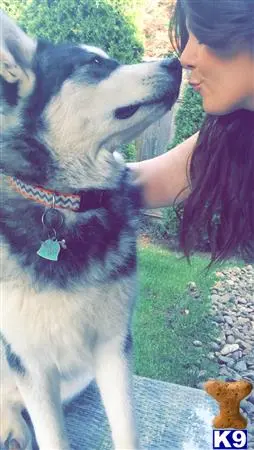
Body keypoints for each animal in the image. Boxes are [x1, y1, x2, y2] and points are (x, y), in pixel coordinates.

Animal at [0, 9, 183, 450]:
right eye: (95, 63)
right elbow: (52, 435)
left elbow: (126, 426)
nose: (177, 63)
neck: (63, 203)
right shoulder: (29, 360)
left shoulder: (113, 345)